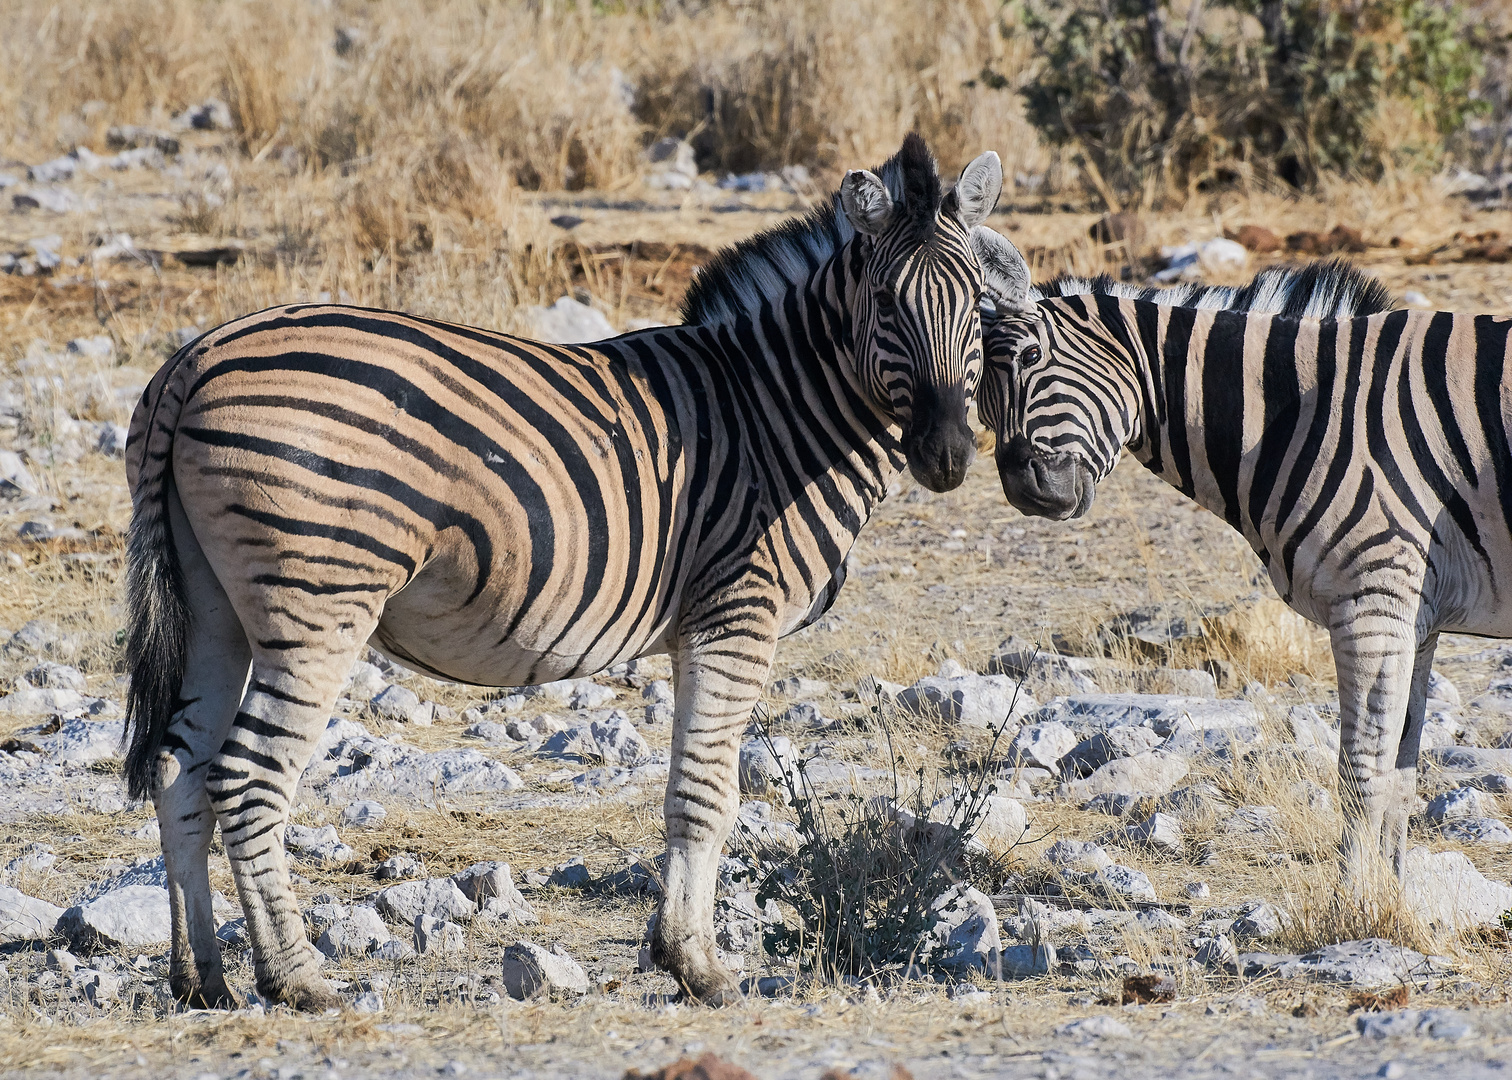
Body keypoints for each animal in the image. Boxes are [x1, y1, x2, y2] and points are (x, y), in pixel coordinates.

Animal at [120, 134, 1016, 1010]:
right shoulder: (735, 616)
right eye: (888, 305)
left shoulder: (699, 629)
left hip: (213, 607)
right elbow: (707, 796)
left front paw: (676, 952)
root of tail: (194, 360)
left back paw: (202, 979)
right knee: (245, 779)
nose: (947, 456)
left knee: (178, 771)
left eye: (976, 308)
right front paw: (700, 967)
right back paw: (296, 979)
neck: (776, 415)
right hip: (318, 601)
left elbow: (687, 791)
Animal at [973, 237, 1505, 883]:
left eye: (1031, 356)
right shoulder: (1414, 616)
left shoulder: (1373, 602)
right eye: (979, 398)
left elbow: (1362, 773)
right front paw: (1392, 896)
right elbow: (1401, 772)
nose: (1027, 492)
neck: (1301, 410)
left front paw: (1353, 900)